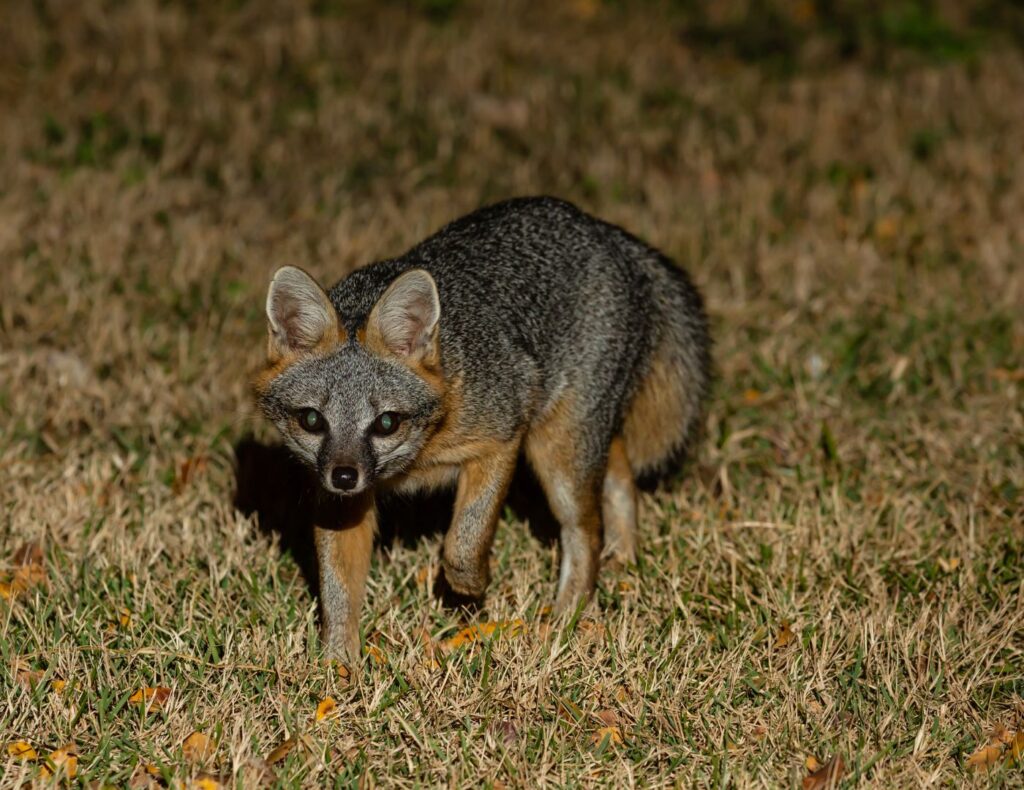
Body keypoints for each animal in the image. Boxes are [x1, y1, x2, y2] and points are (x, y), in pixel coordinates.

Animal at [251, 197, 708, 659]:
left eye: (386, 423)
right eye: (312, 420)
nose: (344, 476)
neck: (418, 454)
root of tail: (605, 230)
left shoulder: (501, 438)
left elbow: (465, 541)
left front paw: (472, 586)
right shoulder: (339, 503)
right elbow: (337, 590)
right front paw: (339, 665)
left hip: (557, 451)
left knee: (586, 529)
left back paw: (567, 617)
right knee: (620, 477)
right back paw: (623, 558)